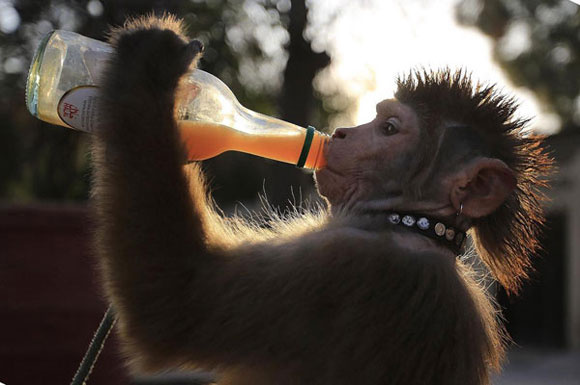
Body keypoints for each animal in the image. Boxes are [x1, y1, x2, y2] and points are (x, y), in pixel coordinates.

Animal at [90, 13, 552, 384]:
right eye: (376, 120)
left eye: (388, 129)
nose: (342, 133)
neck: (412, 222)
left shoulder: (350, 263)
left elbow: (174, 302)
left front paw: (151, 68)